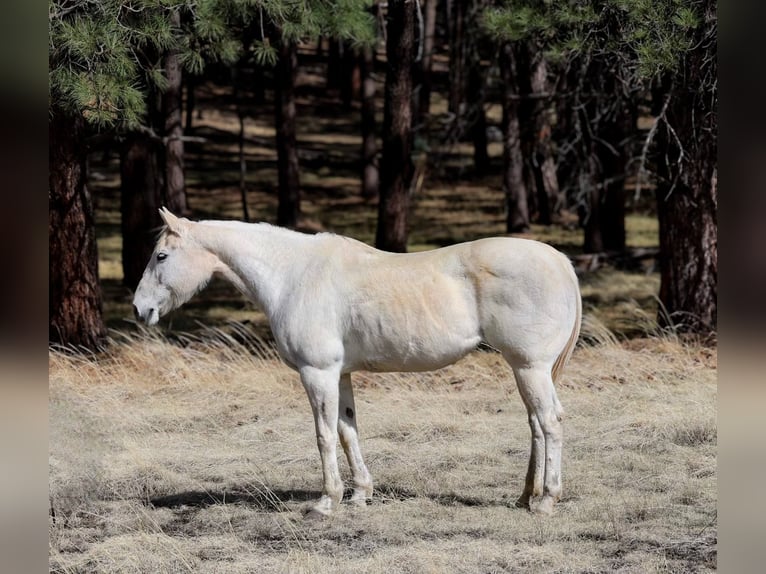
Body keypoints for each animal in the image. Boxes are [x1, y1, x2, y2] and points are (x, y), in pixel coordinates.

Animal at [133, 208, 582, 517]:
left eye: (161, 256)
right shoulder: (341, 374)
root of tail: (560, 260)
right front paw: (360, 494)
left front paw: (325, 502)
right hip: (525, 370)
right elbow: (347, 431)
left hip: (529, 367)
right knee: (536, 425)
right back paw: (526, 496)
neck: (293, 275)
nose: (140, 310)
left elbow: (324, 436)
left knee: (550, 423)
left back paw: (546, 500)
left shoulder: (317, 373)